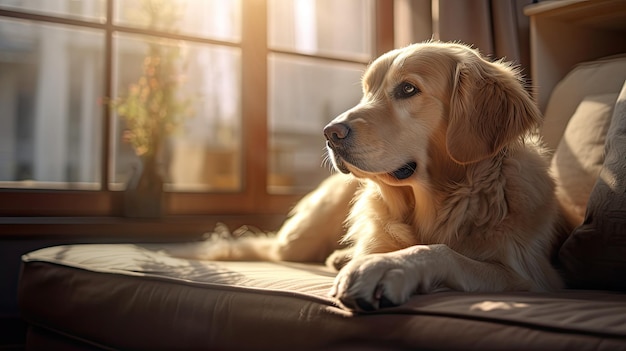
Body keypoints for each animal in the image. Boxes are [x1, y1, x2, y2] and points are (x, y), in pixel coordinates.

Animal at [173, 42, 564, 314]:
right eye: (366, 91)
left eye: (408, 89)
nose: (330, 133)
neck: (438, 203)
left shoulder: (533, 276)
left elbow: (445, 253)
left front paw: (385, 267)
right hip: (300, 237)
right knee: (257, 245)